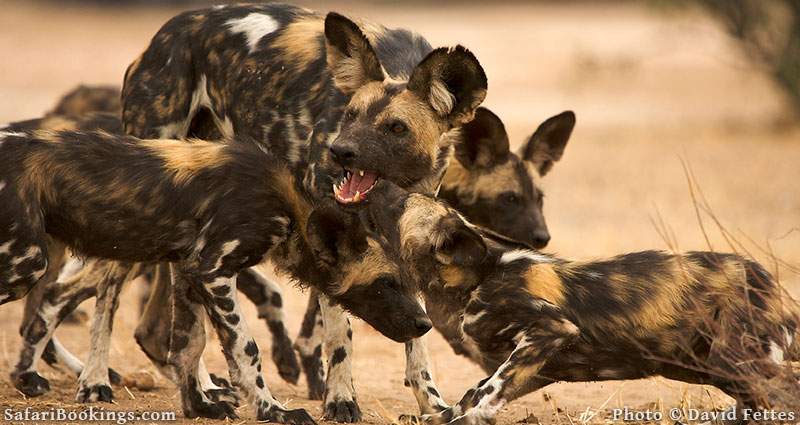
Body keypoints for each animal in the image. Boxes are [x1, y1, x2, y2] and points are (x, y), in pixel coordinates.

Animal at [0, 130, 432, 424]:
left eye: (411, 283)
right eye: (385, 284)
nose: (425, 324)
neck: (286, 206)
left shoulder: (189, 271)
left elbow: (189, 344)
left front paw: (199, 406)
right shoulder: (213, 271)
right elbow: (246, 349)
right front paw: (273, 410)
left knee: (47, 306)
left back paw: (27, 377)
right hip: (27, 262)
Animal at [360, 179, 800, 424]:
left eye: (401, 204)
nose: (376, 182)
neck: (475, 279)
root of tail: (771, 285)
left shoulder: (549, 330)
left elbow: (485, 395)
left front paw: (467, 420)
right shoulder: (538, 366)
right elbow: (473, 393)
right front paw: (443, 416)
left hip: (734, 360)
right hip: (715, 365)